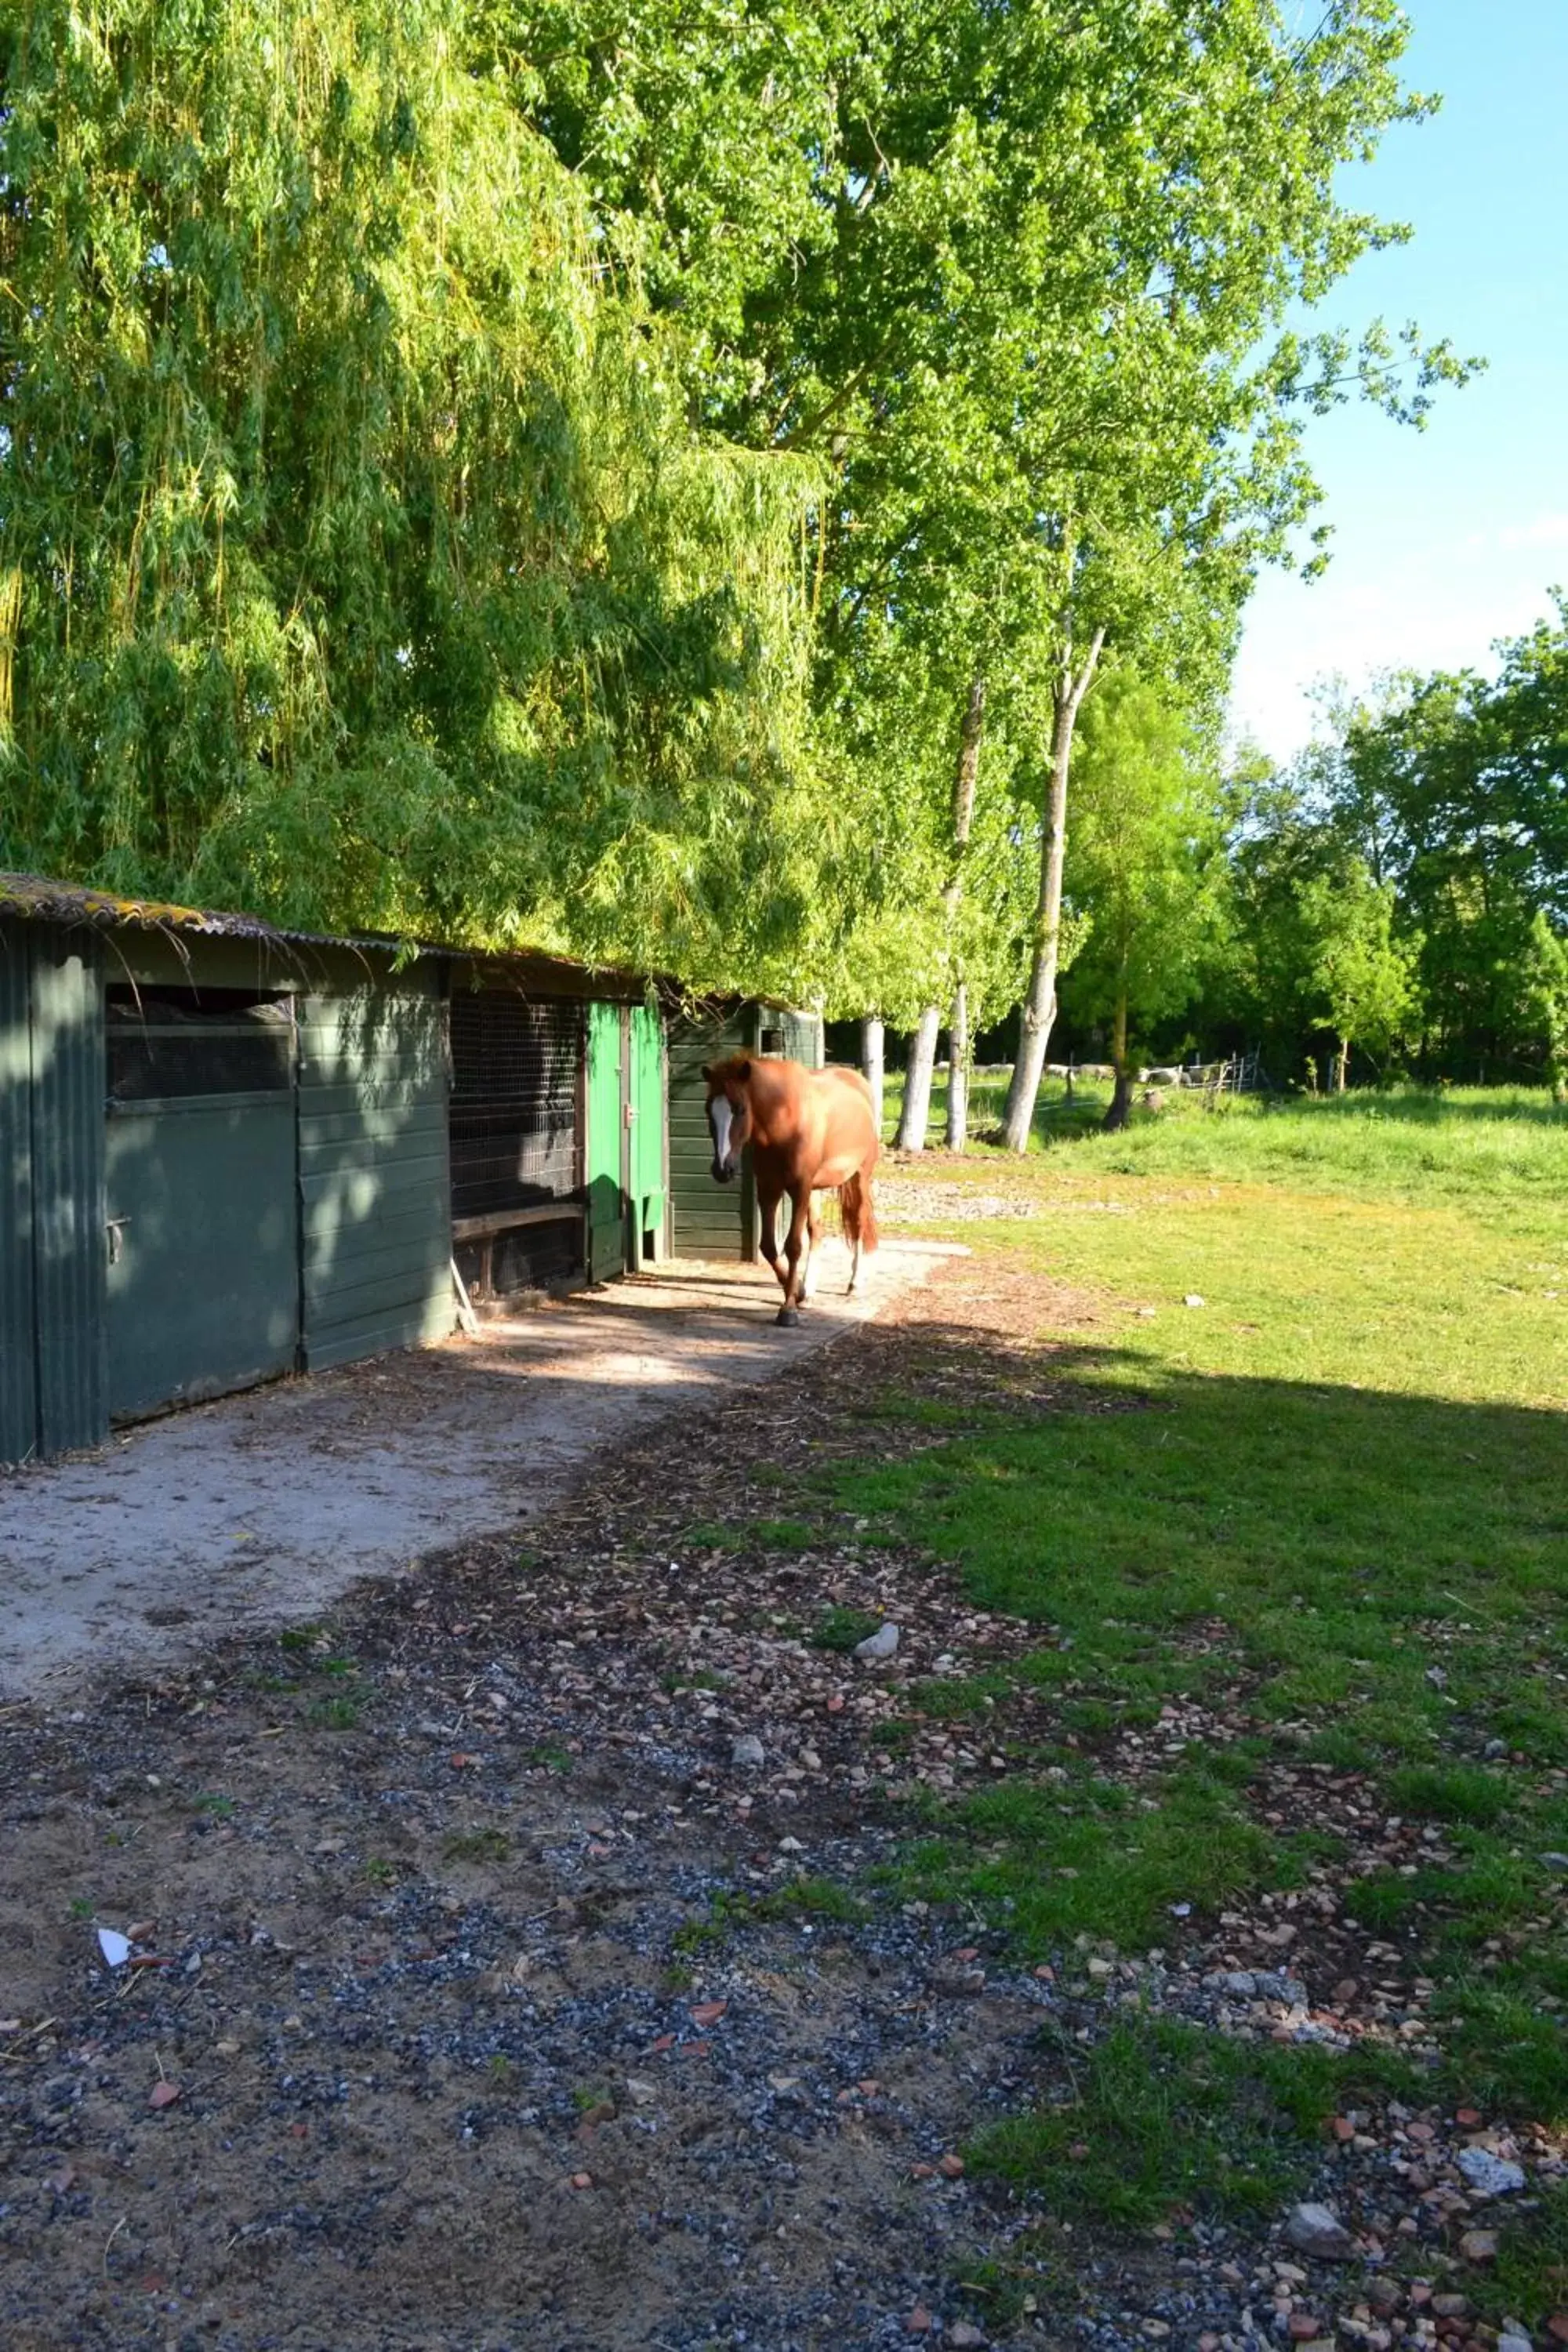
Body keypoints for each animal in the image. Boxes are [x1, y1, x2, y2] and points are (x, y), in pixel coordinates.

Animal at [700, 1063, 879, 1336]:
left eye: (740, 1109)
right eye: (708, 1109)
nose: (722, 1169)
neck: (783, 1124)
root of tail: (857, 1080)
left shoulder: (799, 1189)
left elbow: (793, 1246)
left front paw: (788, 1310)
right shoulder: (769, 1190)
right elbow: (768, 1247)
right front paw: (797, 1291)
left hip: (859, 1176)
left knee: (857, 1223)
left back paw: (854, 1283)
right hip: (815, 1189)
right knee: (816, 1231)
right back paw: (810, 1289)